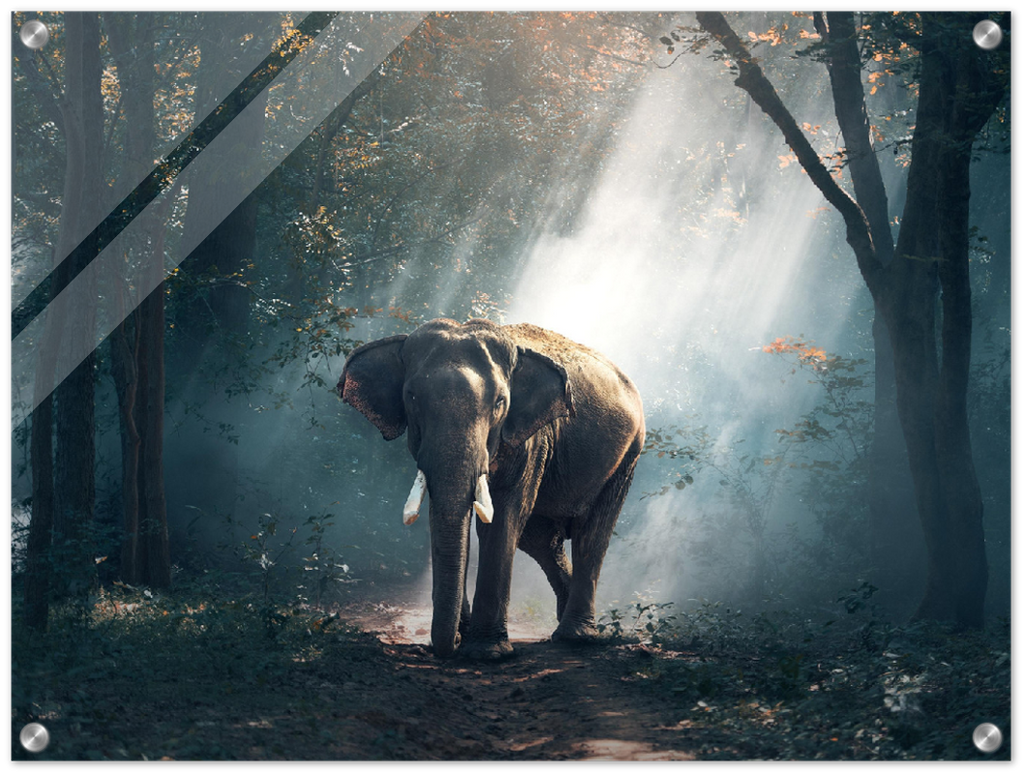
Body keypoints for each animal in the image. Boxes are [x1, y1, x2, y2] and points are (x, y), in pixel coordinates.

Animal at [338, 318, 645, 659]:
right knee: (541, 539)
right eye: (412, 397)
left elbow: (503, 517)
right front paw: (466, 636)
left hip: (628, 455)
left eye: (500, 402)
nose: (451, 643)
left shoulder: (531, 439)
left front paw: (487, 652)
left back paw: (576, 636)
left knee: (591, 534)